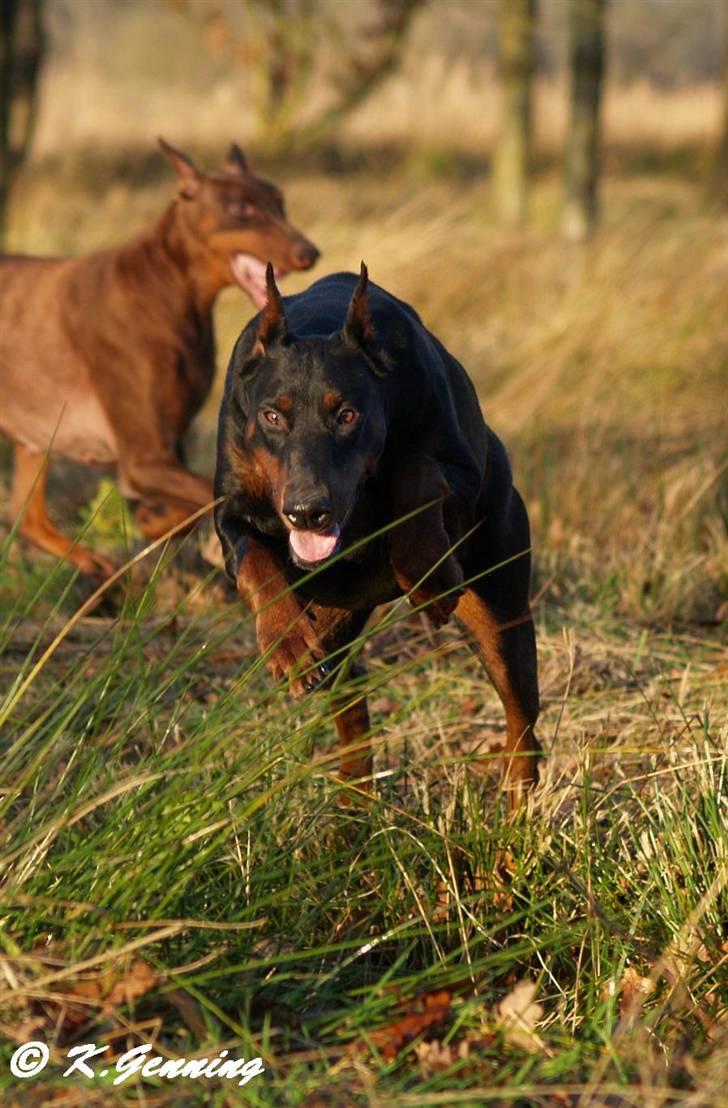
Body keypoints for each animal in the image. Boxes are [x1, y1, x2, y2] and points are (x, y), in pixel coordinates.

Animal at [0, 139, 319, 576]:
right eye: (240, 208)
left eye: (279, 201)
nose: (309, 252)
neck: (167, 288)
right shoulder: (144, 460)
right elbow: (212, 497)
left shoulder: (170, 448)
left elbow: (185, 513)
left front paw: (151, 521)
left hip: (36, 435)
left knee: (28, 517)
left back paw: (99, 568)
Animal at [212, 263, 536, 811]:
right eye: (271, 415)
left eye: (347, 414)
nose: (306, 512)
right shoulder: (230, 508)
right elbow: (252, 557)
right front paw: (287, 643)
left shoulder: (463, 470)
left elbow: (416, 469)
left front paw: (426, 575)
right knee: (347, 685)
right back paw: (353, 796)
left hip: (500, 598)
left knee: (522, 719)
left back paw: (521, 808)